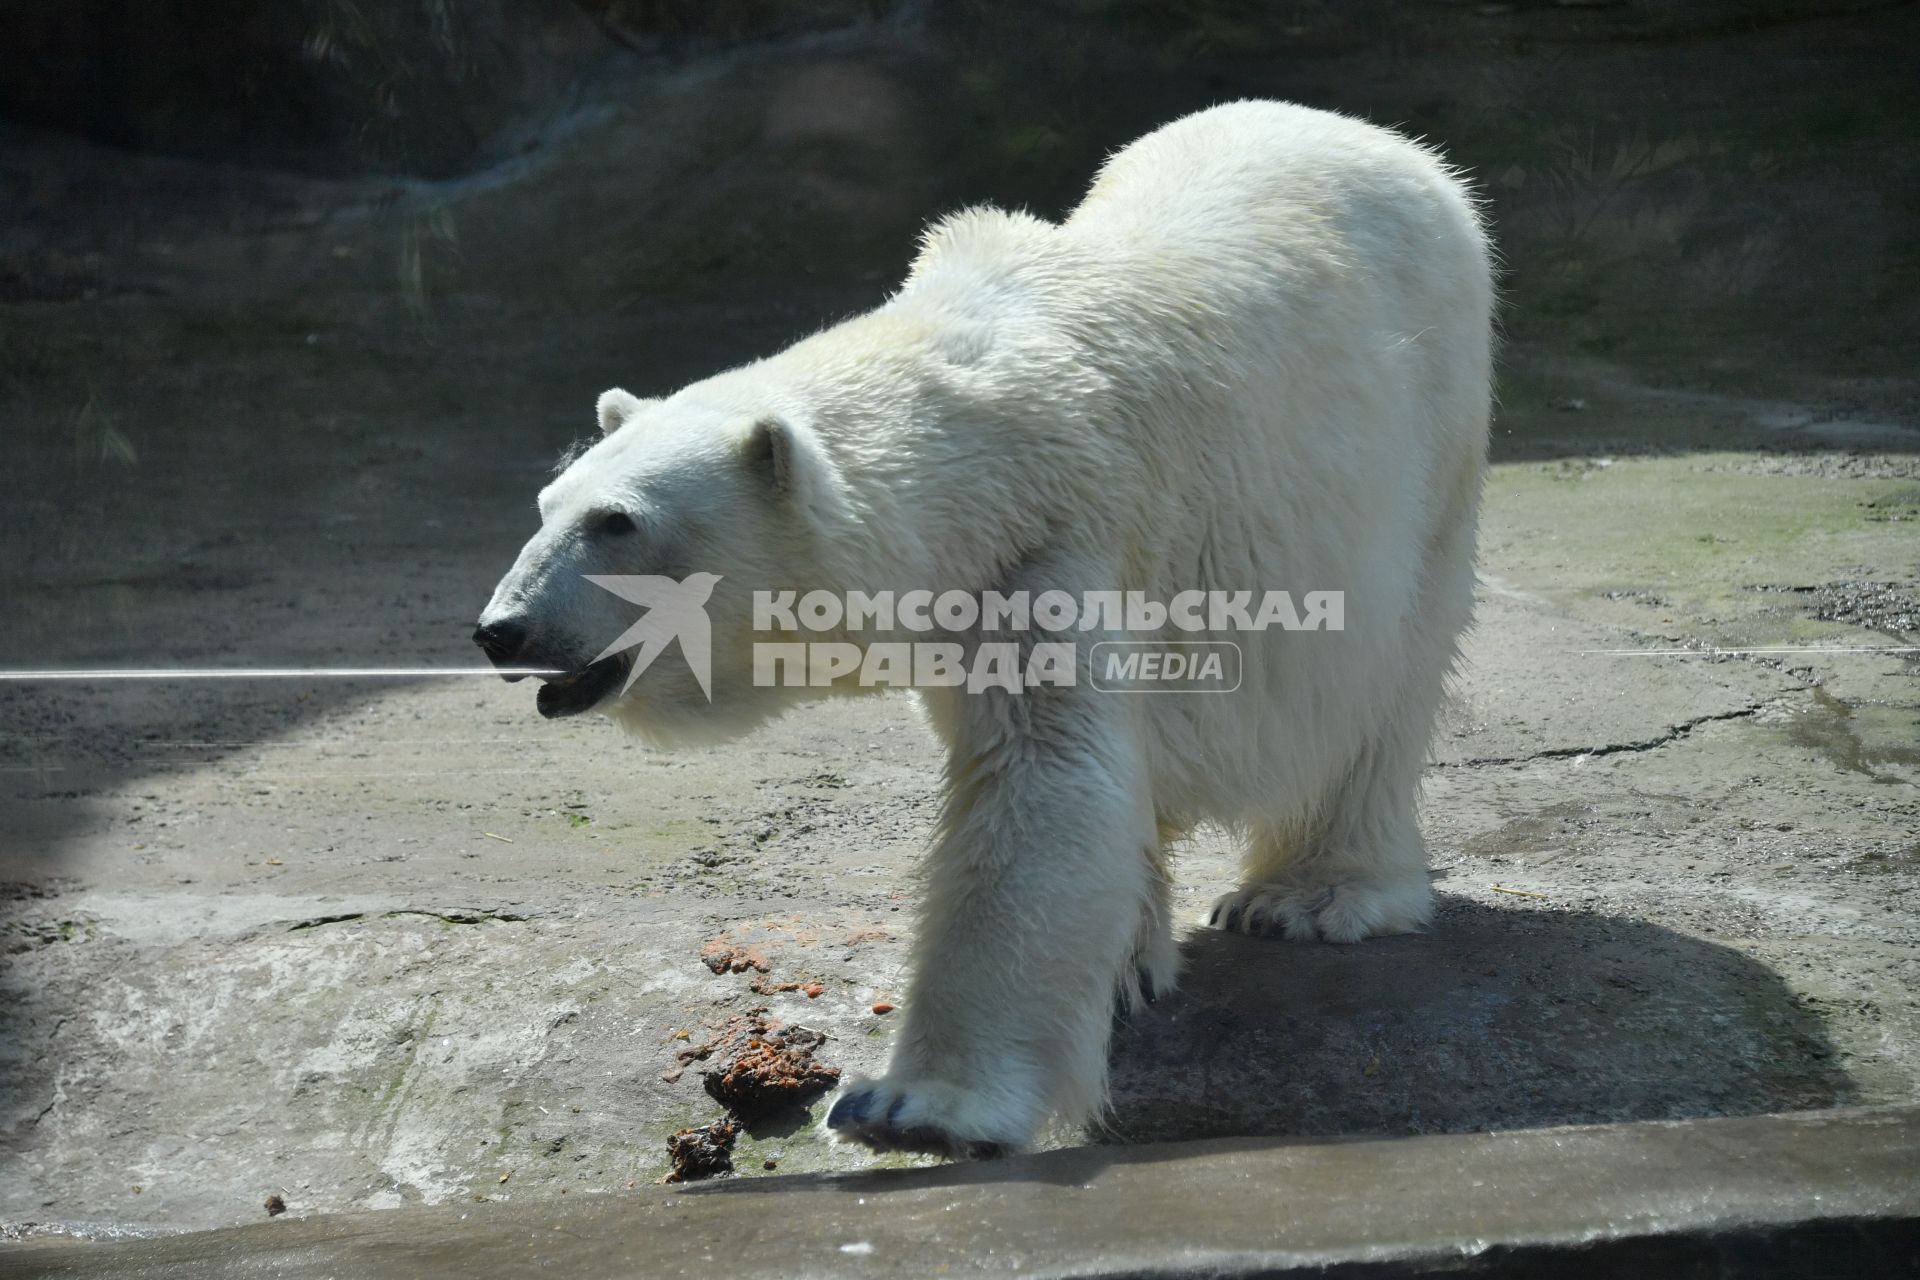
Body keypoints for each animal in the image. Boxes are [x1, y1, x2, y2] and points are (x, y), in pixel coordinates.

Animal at [472, 102, 1489, 1159]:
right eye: (547, 505)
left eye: (617, 522)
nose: (502, 630)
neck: (971, 436)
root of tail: (1383, 142)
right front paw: (1114, 971)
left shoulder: (1055, 546)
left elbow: (1044, 786)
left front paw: (914, 1104)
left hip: (1430, 420)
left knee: (1384, 682)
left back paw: (1307, 897)